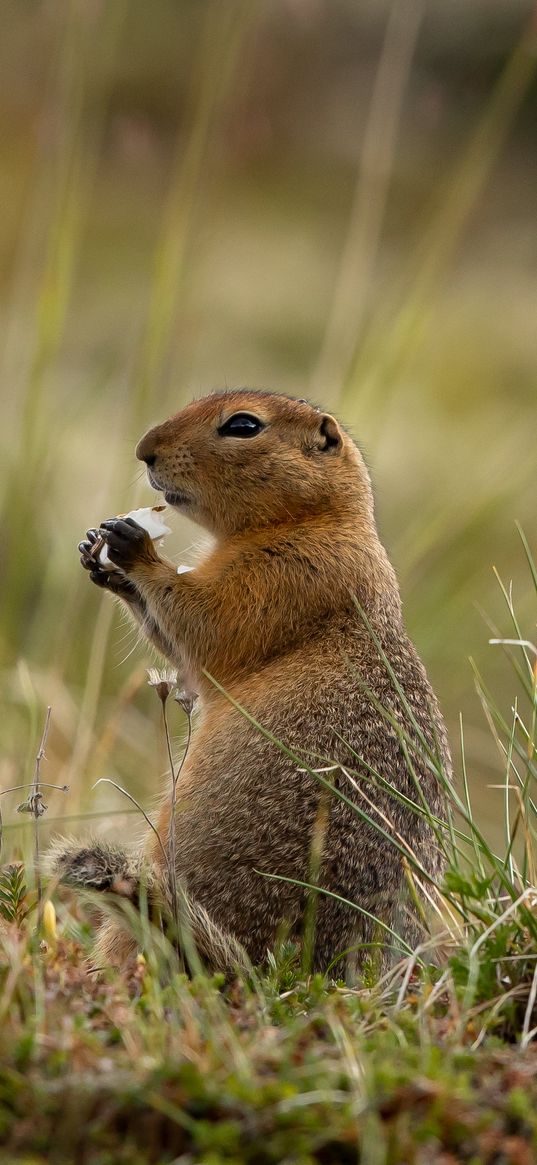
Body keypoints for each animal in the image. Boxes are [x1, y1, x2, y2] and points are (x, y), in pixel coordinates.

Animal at [51, 389, 451, 973]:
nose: (143, 450)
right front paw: (96, 555)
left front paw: (134, 550)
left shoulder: (288, 573)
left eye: (243, 425)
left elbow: (210, 622)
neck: (318, 519)